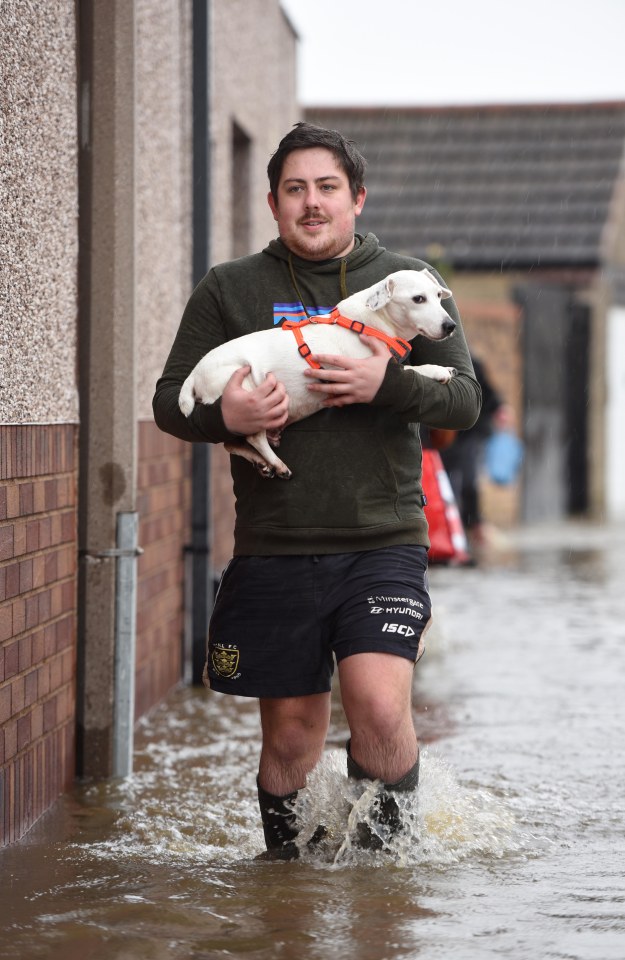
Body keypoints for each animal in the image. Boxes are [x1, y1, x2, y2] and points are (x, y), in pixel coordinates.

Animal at [178, 268, 456, 478]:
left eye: (438, 295)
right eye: (418, 299)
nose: (450, 325)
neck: (369, 322)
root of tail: (193, 375)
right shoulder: (363, 367)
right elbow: (410, 368)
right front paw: (438, 370)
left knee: (231, 442)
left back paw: (262, 462)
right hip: (244, 393)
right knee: (254, 437)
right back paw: (275, 462)